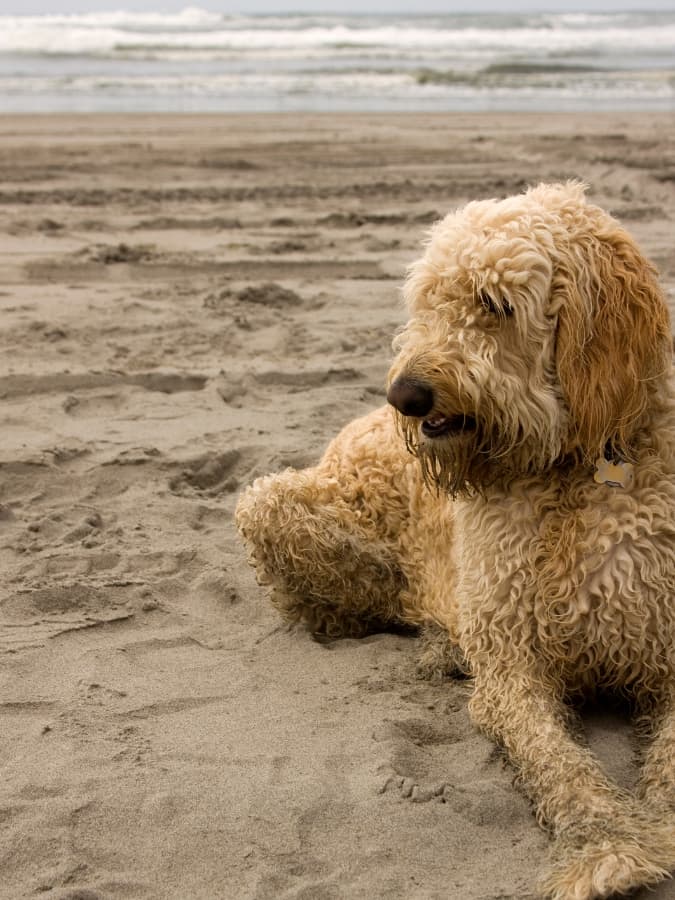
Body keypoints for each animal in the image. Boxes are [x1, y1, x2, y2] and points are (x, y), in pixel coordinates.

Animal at [238, 185, 675, 900]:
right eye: (429, 301)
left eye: (493, 304)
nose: (405, 395)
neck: (568, 470)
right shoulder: (511, 664)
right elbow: (556, 760)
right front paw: (606, 844)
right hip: (270, 506)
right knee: (353, 598)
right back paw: (441, 637)